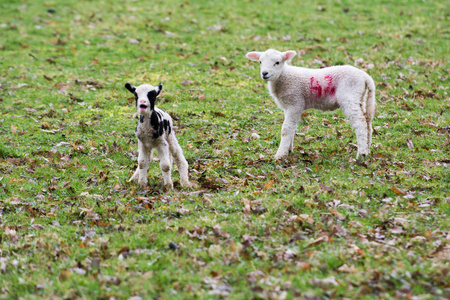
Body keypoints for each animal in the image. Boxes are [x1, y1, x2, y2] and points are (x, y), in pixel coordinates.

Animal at [246, 48, 376, 159]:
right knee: (367, 122)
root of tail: (365, 76)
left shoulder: (295, 103)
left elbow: (286, 128)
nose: (264, 73)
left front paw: (280, 154)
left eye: (277, 62)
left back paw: (361, 154)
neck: (284, 76)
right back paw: (367, 150)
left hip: (349, 96)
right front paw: (289, 150)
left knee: (360, 123)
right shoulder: (289, 106)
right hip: (359, 97)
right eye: (260, 62)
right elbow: (292, 127)